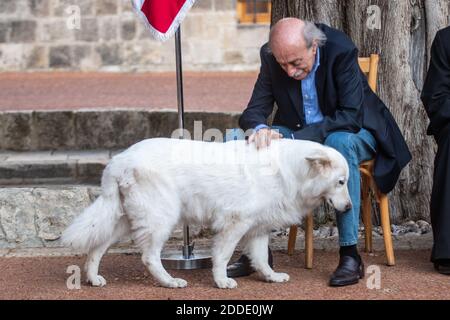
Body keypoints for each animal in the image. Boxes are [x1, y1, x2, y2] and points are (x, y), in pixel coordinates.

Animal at [62, 138, 352, 290]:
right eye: (341, 182)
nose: (350, 208)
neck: (291, 172)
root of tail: (119, 160)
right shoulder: (235, 224)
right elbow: (222, 256)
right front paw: (222, 281)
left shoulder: (258, 229)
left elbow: (261, 259)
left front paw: (271, 277)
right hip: (161, 219)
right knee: (149, 257)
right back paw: (170, 282)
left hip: (122, 220)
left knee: (96, 248)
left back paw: (93, 278)